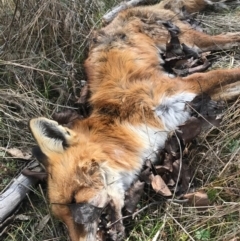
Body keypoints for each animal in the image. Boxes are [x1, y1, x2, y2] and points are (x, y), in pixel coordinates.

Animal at [29, 0, 240, 240]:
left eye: (74, 199)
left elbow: (227, 73)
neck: (125, 120)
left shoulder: (183, 86)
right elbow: (231, 88)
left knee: (232, 37)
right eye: (62, 219)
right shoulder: (192, 104)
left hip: (193, 40)